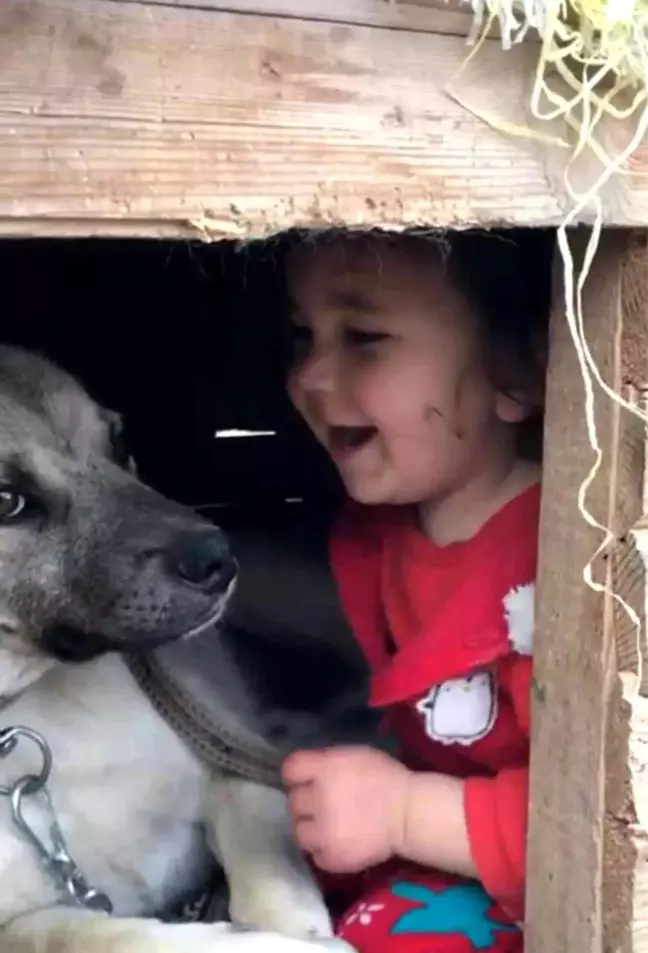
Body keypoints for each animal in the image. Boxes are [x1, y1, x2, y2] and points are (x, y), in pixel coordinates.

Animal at [0, 346, 370, 952]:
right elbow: (117, 936)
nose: (217, 559)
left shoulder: (233, 769)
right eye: (7, 500)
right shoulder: (23, 922)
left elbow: (271, 877)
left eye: (119, 444)